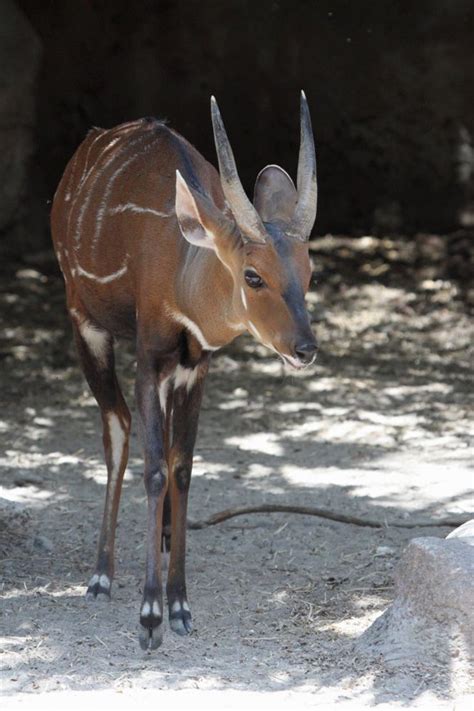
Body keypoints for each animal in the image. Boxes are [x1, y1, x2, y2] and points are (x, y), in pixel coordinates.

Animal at [51, 92, 318, 648]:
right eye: (253, 275)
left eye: (309, 271)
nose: (305, 348)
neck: (183, 270)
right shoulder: (149, 355)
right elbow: (154, 468)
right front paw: (151, 615)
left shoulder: (197, 363)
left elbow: (184, 467)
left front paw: (179, 605)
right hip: (84, 320)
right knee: (117, 427)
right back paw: (101, 574)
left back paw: (167, 538)